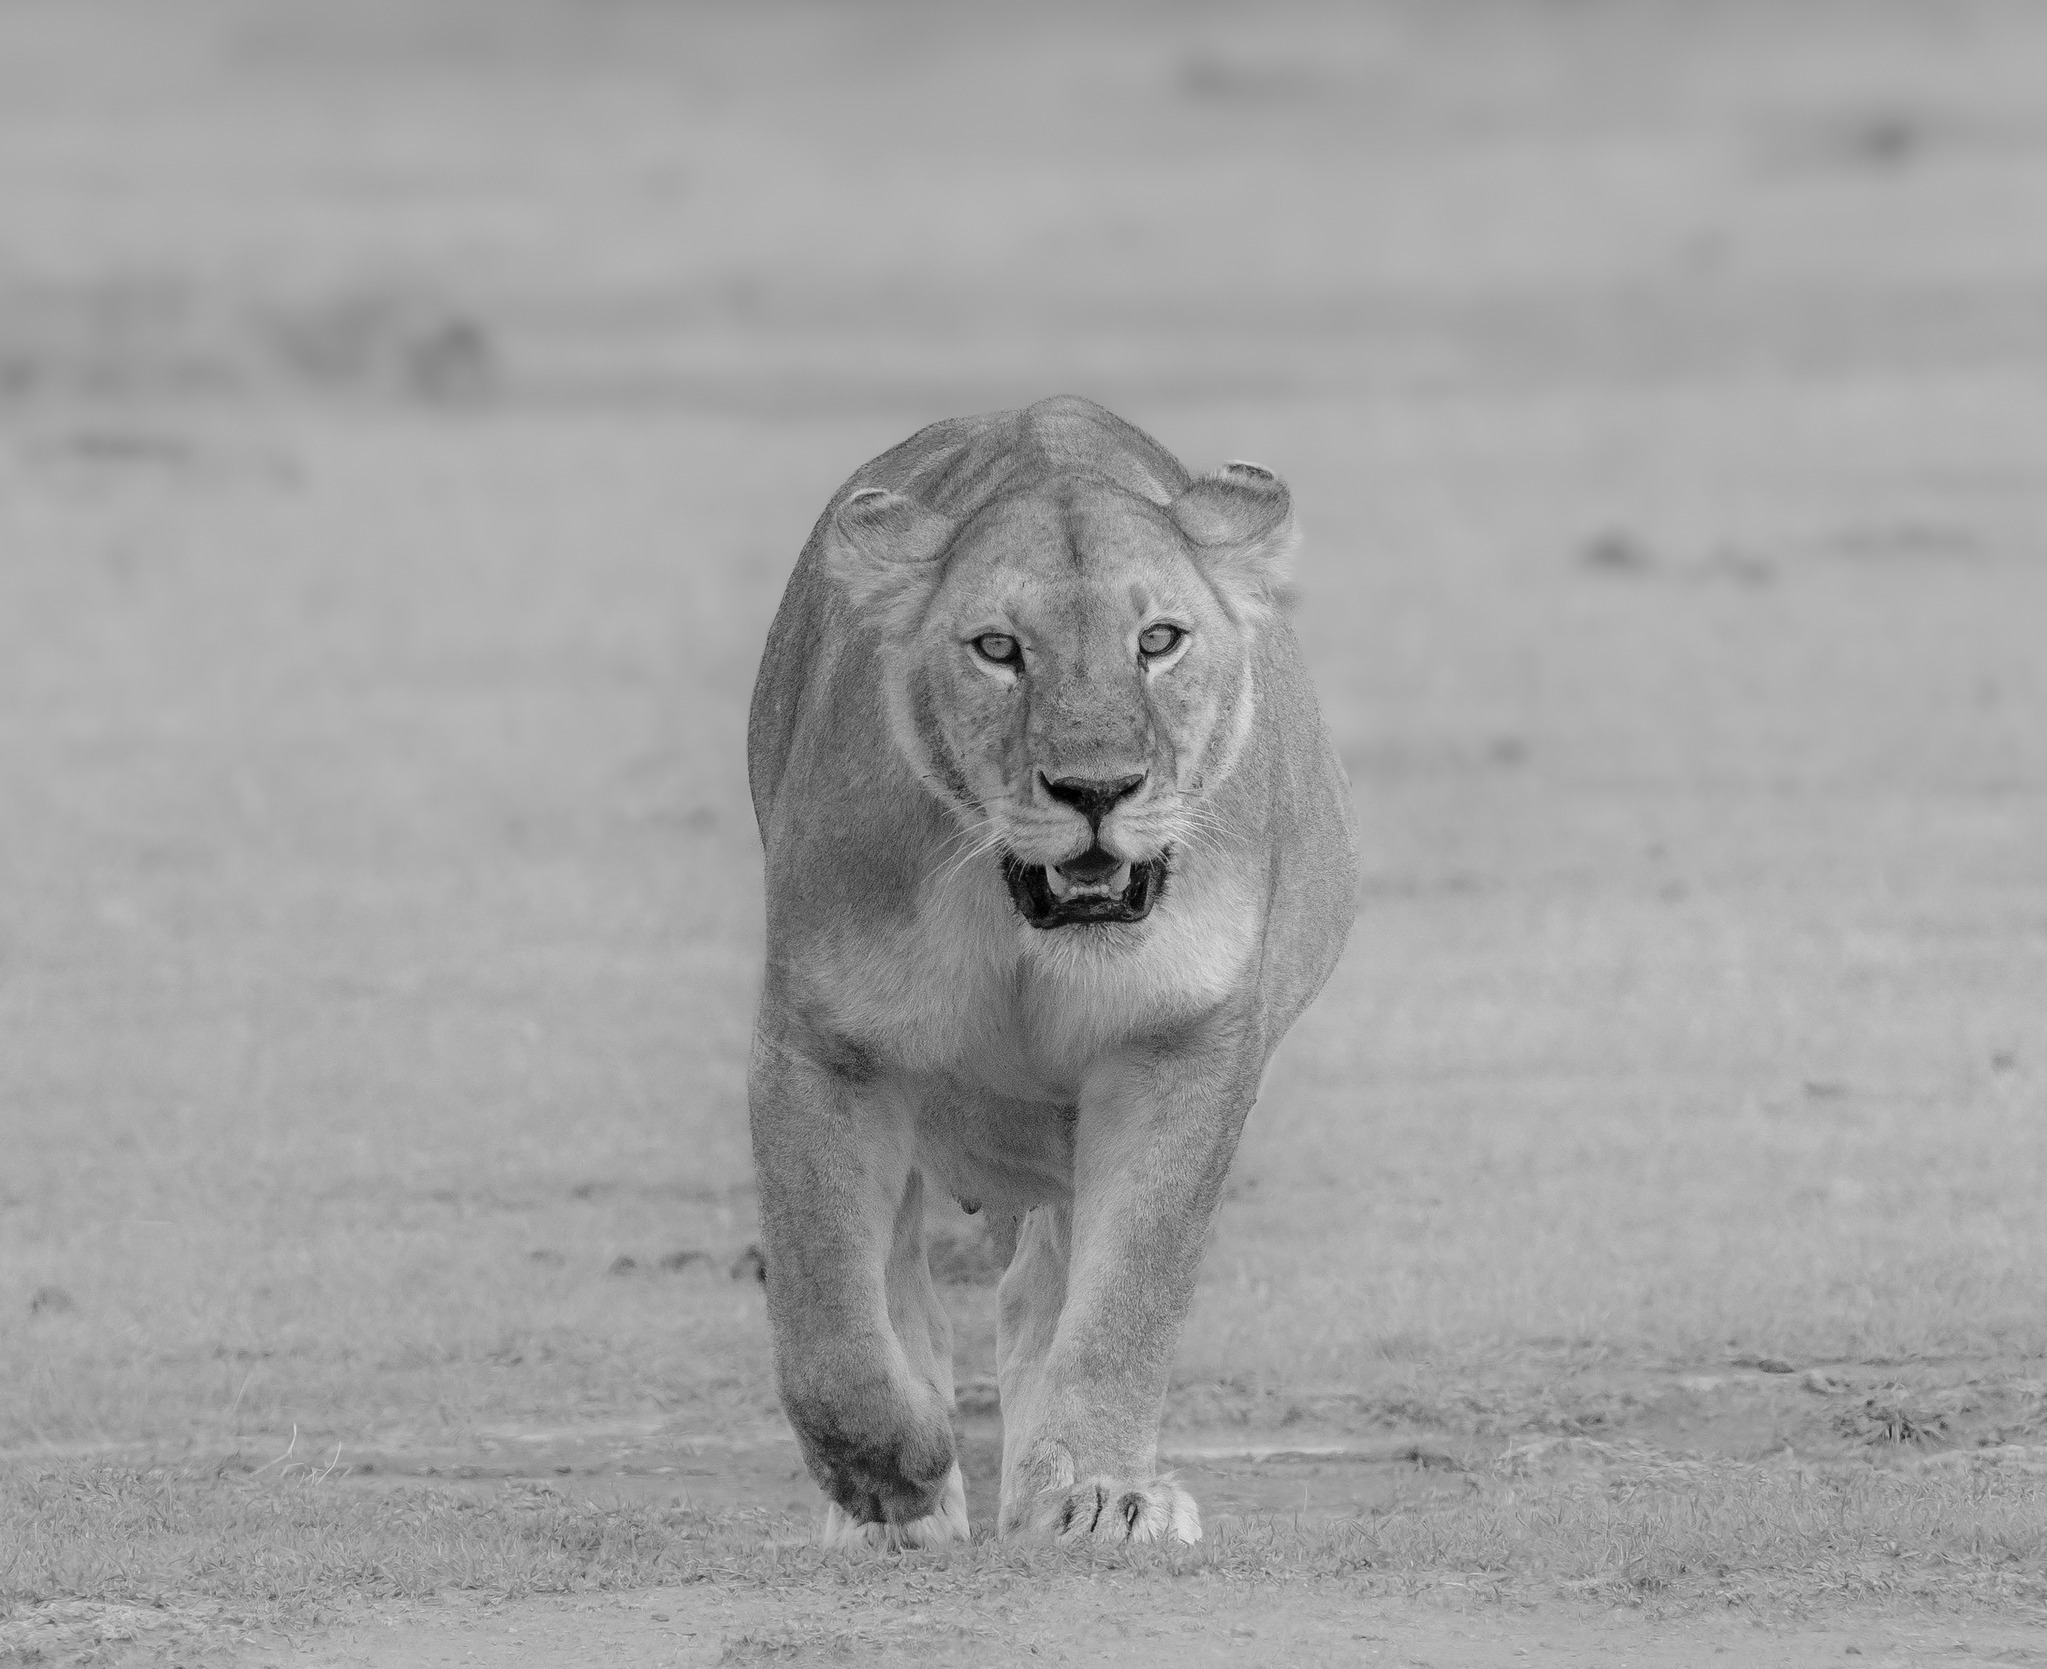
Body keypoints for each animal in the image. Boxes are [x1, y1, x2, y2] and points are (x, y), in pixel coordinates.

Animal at [746, 395, 1358, 1548]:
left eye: (1157, 640)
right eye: (998, 649)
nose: (1096, 788)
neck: (1023, 925)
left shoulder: (1180, 1038)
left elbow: (1128, 1293)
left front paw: (1099, 1491)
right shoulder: (821, 1042)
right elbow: (826, 1310)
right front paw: (887, 1480)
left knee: (1041, 1291)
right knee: (903, 1282)